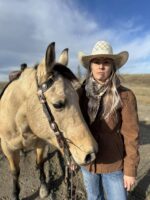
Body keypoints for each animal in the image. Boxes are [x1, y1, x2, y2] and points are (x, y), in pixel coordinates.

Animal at [0, 41, 98, 199]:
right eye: (58, 104)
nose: (91, 154)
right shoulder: (8, 148)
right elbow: (15, 172)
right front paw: (15, 194)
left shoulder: (41, 142)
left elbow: (40, 162)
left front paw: (44, 187)